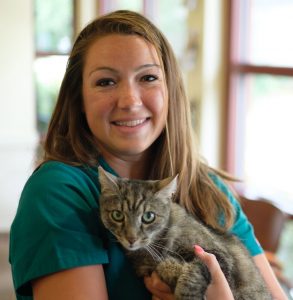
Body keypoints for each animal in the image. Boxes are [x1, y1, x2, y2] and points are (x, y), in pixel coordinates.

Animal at [97, 166, 270, 300]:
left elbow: (195, 270)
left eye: (148, 217)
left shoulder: (219, 256)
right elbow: (164, 265)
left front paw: (187, 293)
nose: (131, 239)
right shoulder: (146, 266)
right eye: (117, 215)